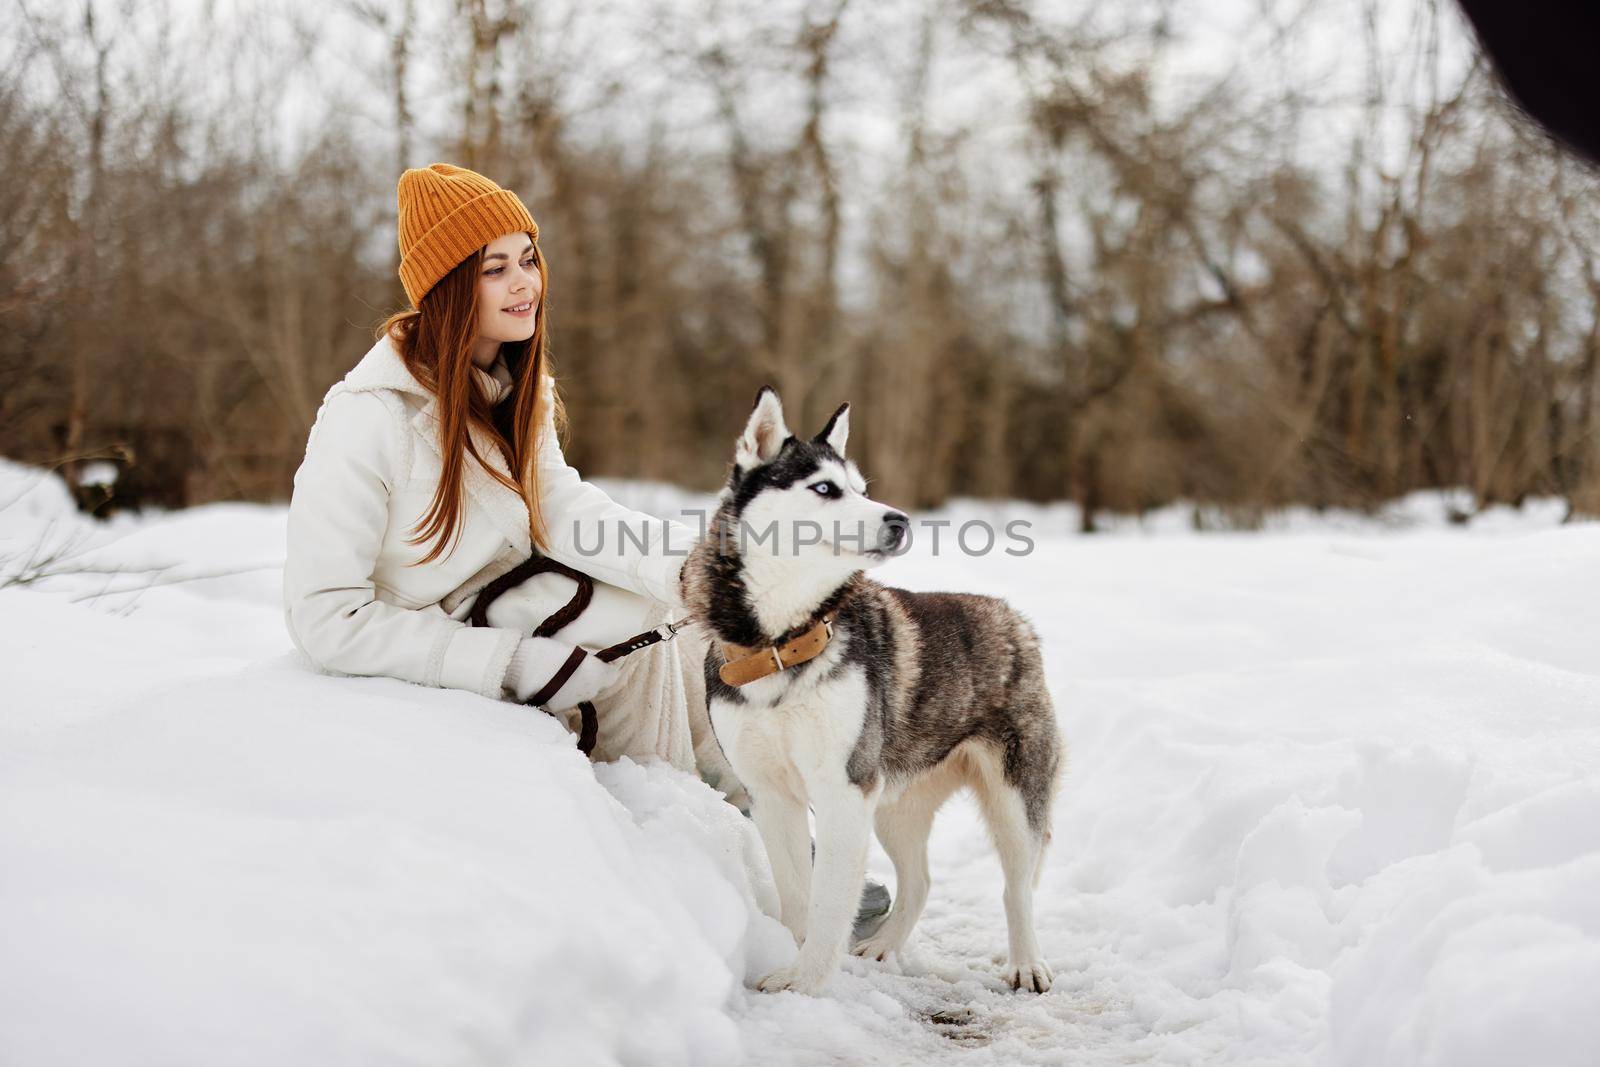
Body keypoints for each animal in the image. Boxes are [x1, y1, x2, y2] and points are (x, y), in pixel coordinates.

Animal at [678, 388, 1062, 998]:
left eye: (861, 487)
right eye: (824, 488)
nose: (899, 520)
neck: (782, 643)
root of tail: (1013, 619)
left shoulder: (842, 791)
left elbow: (829, 902)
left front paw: (807, 984)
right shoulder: (771, 795)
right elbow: (797, 894)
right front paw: (793, 963)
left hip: (1013, 797)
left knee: (1017, 885)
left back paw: (1027, 963)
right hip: (893, 805)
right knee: (921, 880)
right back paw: (885, 945)